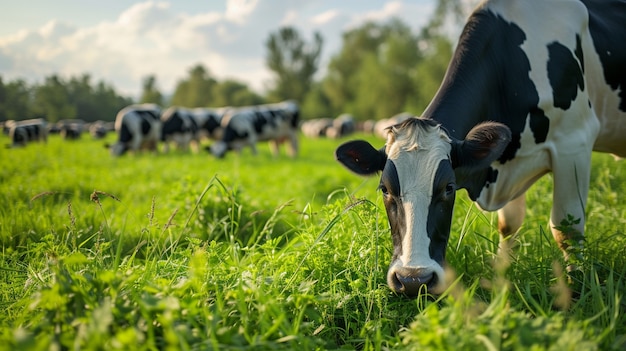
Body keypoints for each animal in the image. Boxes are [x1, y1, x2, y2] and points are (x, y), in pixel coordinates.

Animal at [334, 0, 624, 296]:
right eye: (384, 189)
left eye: (449, 188)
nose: (414, 280)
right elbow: (508, 224)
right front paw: (502, 276)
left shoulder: (574, 142)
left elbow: (567, 228)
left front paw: (577, 285)